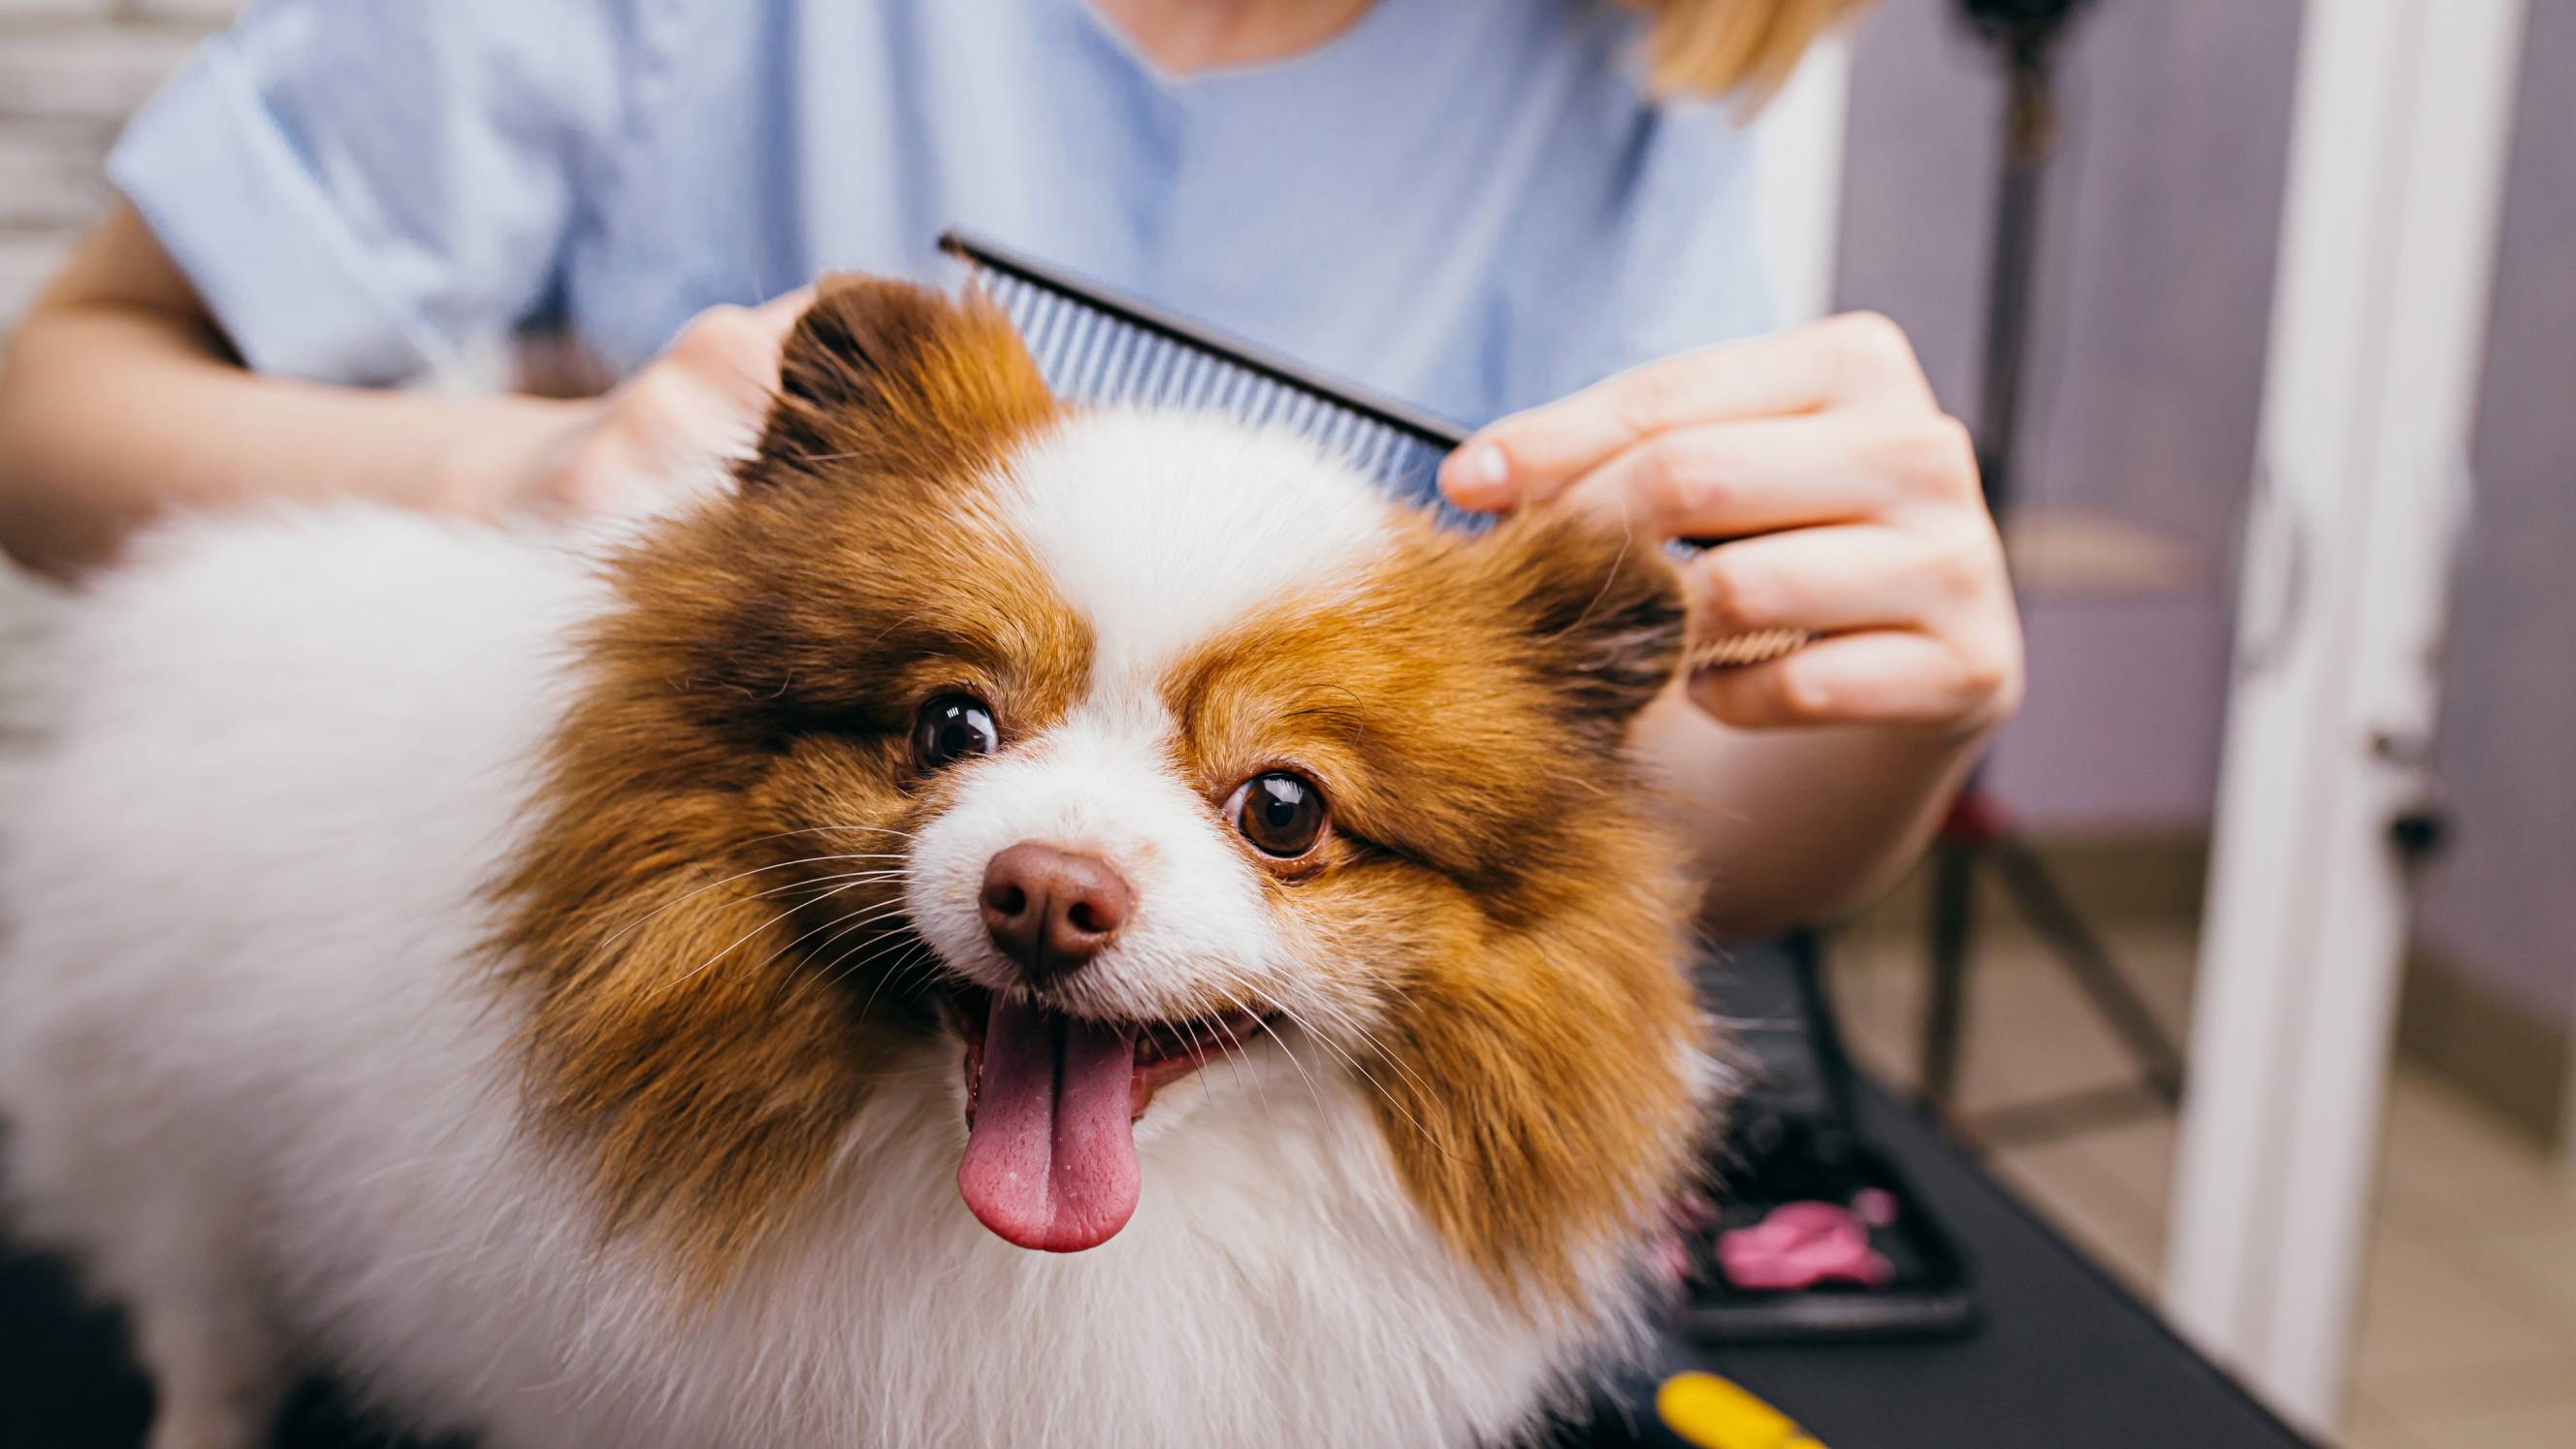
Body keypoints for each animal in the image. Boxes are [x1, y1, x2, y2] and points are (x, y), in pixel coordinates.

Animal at [5, 275, 1730, 1433]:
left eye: (1285, 808)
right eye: (952, 722)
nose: (1049, 891)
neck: (1032, 1271)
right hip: (169, 1129)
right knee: (201, 1317)